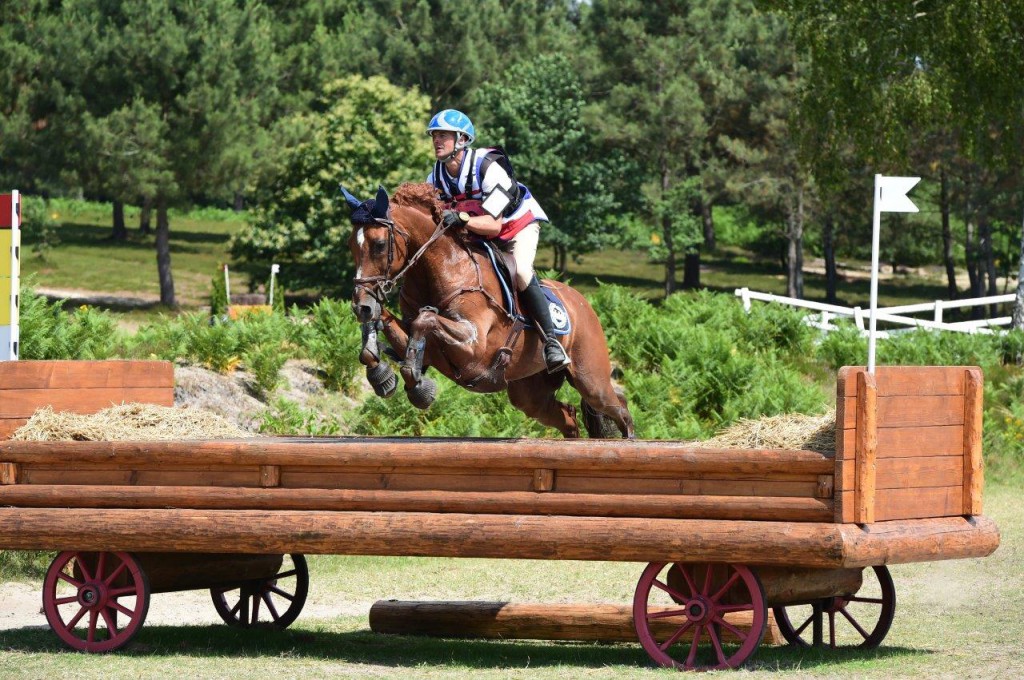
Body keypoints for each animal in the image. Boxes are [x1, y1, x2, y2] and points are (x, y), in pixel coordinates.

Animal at [344, 180, 630, 438]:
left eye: (380, 244)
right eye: (351, 245)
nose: (361, 306)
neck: (443, 269)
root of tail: (583, 303)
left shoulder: (474, 347)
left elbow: (424, 319)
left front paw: (419, 389)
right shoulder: (429, 349)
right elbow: (391, 325)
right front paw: (380, 373)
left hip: (590, 380)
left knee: (620, 408)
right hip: (529, 393)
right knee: (568, 418)